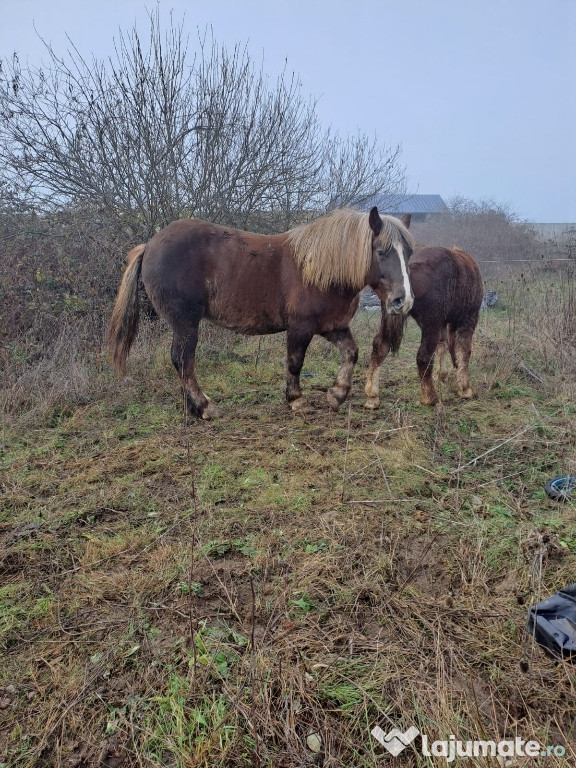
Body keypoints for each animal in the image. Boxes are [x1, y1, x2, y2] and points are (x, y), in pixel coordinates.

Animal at [108, 207, 414, 416]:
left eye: (409, 253)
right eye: (382, 251)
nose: (404, 300)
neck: (319, 269)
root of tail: (150, 244)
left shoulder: (331, 326)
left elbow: (351, 353)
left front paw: (336, 394)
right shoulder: (301, 327)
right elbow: (295, 362)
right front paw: (296, 399)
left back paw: (192, 407)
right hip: (186, 324)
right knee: (183, 360)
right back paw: (204, 406)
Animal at [366, 244, 484, 408]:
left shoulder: (442, 323)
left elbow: (443, 345)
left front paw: (441, 374)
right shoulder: (467, 319)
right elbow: (464, 351)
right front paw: (464, 388)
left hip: (389, 317)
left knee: (380, 346)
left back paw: (372, 395)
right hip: (432, 324)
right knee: (423, 356)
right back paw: (431, 397)